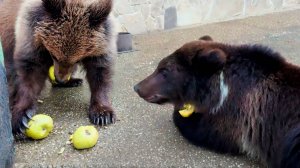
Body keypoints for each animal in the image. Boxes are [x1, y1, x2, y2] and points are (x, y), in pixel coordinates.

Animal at [0, 0, 117, 134]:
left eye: (78, 59)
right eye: (54, 55)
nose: (60, 79)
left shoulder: (100, 45)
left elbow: (100, 73)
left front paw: (103, 113)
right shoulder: (32, 39)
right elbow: (30, 74)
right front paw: (21, 117)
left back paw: (73, 81)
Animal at [135, 35, 300, 168]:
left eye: (164, 71)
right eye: (158, 67)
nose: (137, 87)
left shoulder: (237, 112)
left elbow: (207, 132)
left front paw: (182, 113)